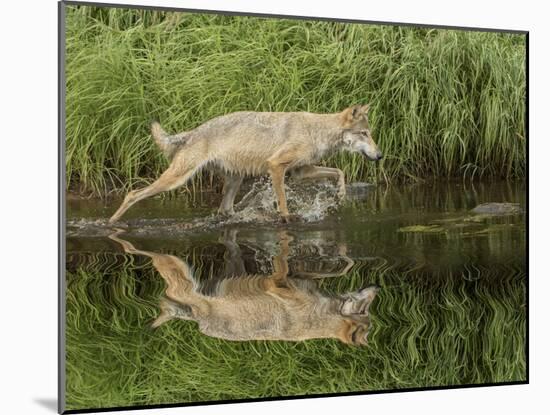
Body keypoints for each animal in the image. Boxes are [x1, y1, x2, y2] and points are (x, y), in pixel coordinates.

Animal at [109, 106, 384, 224]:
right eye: (365, 134)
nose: (380, 156)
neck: (316, 131)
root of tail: (193, 132)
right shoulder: (276, 166)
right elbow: (283, 202)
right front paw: (286, 218)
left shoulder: (300, 172)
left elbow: (340, 172)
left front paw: (341, 195)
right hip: (175, 180)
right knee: (133, 193)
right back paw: (111, 224)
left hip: (234, 180)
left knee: (225, 210)